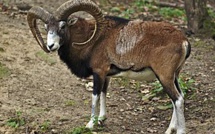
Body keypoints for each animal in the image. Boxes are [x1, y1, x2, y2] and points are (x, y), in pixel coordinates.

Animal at [27, 0, 191, 133]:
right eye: (46, 27)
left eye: (63, 26)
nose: (50, 46)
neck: (93, 40)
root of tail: (183, 41)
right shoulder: (105, 75)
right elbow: (104, 94)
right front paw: (101, 119)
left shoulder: (98, 73)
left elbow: (95, 97)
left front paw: (90, 124)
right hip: (173, 76)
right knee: (178, 98)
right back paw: (170, 129)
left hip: (164, 77)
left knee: (177, 100)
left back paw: (179, 131)